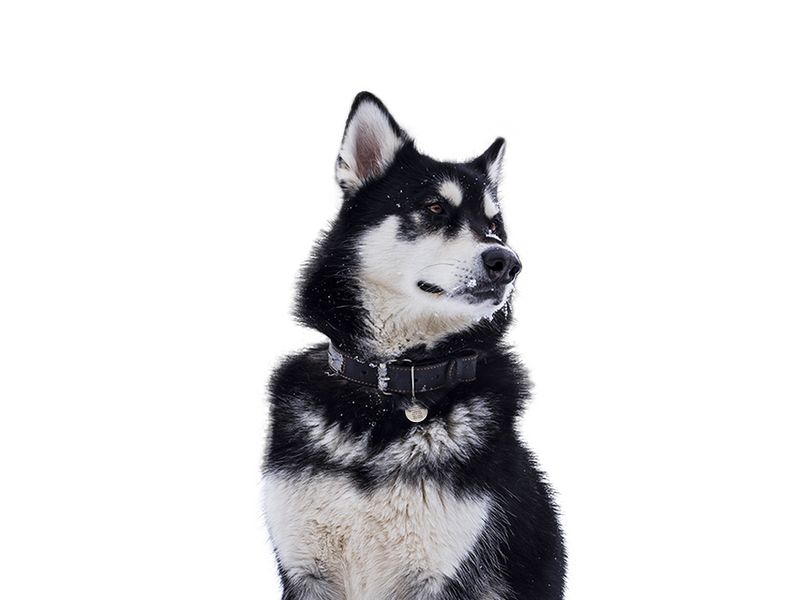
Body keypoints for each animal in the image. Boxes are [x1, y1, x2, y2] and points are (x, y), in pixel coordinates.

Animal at [250, 91, 568, 596]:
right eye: (435, 208)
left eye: (494, 223)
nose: (507, 263)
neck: (393, 383)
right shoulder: (307, 570)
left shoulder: (438, 574)